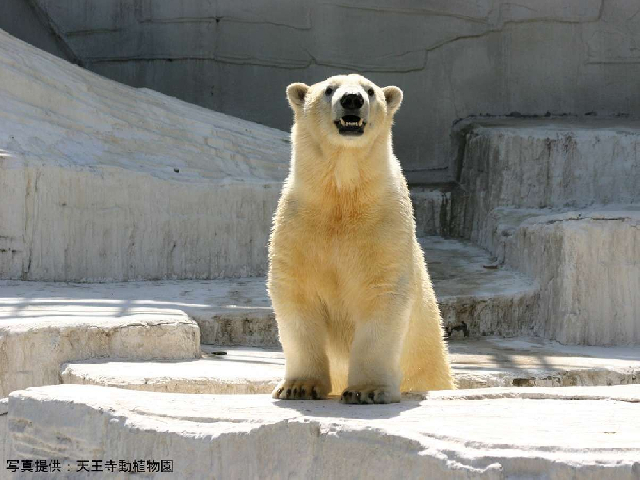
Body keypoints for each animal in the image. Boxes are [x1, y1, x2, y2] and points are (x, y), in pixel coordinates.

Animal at [268, 74, 452, 404]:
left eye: (370, 90)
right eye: (329, 89)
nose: (351, 99)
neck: (342, 198)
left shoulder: (385, 226)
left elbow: (382, 296)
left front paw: (367, 391)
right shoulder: (298, 225)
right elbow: (297, 295)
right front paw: (298, 386)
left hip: (431, 364)